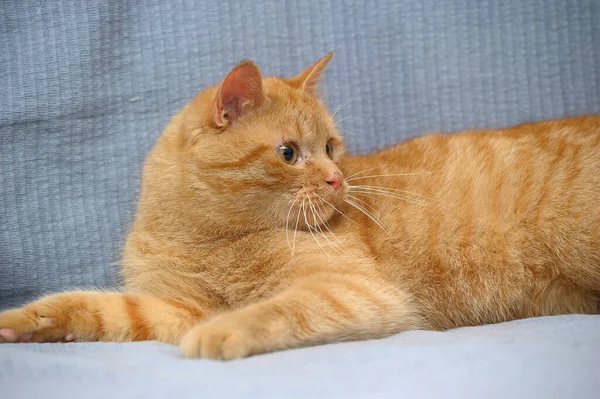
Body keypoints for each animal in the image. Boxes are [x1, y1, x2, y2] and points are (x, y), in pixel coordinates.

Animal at [1, 54, 600, 360]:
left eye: (331, 147)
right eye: (290, 153)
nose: (337, 179)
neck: (211, 239)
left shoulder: (351, 289)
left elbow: (274, 309)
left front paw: (221, 333)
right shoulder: (172, 306)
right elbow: (99, 308)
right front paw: (29, 321)